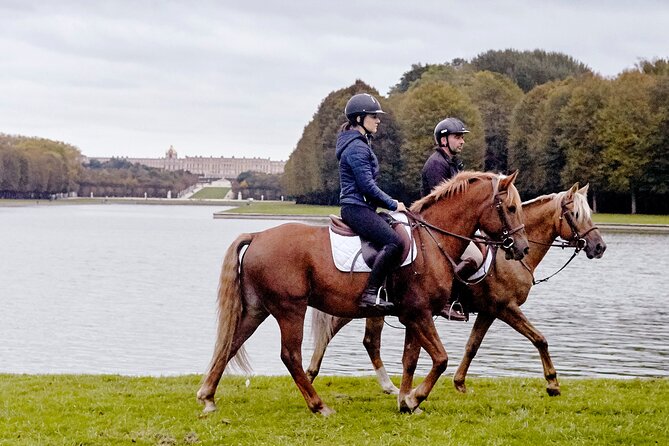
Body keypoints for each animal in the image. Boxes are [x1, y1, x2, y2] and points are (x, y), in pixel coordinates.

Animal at [197, 171, 529, 415]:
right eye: (511, 208)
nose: (522, 248)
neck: (431, 241)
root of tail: (257, 235)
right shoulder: (420, 312)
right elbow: (441, 359)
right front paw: (414, 398)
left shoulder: (414, 315)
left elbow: (411, 359)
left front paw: (405, 401)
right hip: (290, 309)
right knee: (289, 355)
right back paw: (318, 405)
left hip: (257, 309)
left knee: (231, 343)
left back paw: (208, 397)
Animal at [306, 183, 606, 397]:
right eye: (576, 215)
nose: (599, 246)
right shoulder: (506, 307)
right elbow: (539, 338)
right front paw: (553, 383)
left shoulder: (489, 311)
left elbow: (472, 346)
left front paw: (459, 382)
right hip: (364, 305)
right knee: (347, 335)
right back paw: (319, 375)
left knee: (361, 339)